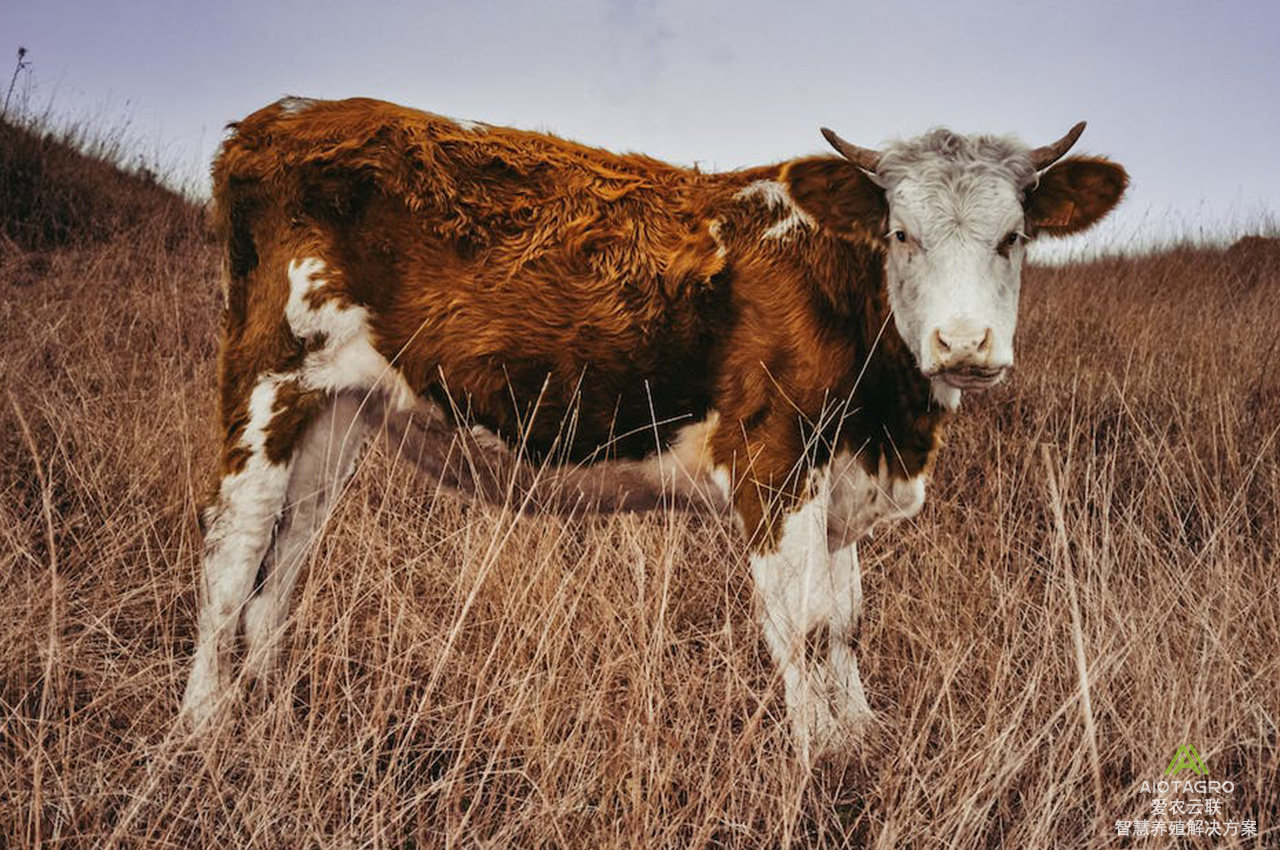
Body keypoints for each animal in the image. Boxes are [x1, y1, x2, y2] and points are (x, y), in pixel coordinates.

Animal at [183, 96, 1131, 757]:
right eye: (901, 233)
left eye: (1014, 237)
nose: (964, 344)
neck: (892, 420)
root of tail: (280, 118)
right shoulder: (775, 460)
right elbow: (803, 625)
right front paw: (823, 762)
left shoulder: (841, 479)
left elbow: (847, 618)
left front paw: (862, 736)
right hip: (266, 379)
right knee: (231, 554)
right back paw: (203, 729)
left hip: (335, 415)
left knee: (283, 566)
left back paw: (272, 717)